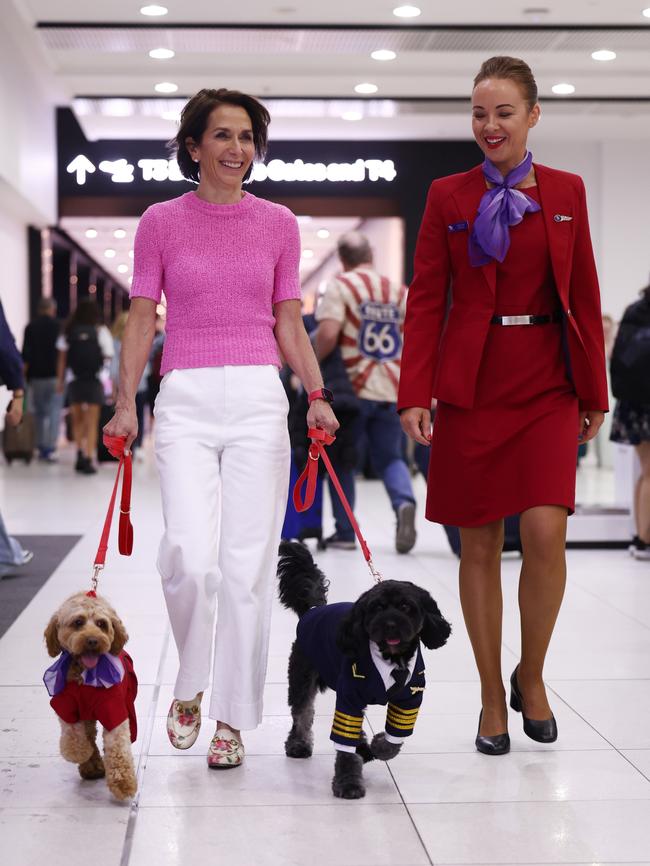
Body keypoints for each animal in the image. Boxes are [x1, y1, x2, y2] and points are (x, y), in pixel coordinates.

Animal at [43, 592, 138, 800]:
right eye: (78, 622)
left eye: (102, 624)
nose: (93, 640)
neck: (85, 676)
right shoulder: (66, 706)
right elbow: (73, 737)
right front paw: (79, 753)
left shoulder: (114, 710)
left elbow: (117, 747)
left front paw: (123, 783)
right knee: (88, 735)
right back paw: (91, 765)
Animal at [274, 540, 450, 796]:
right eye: (377, 607)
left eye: (405, 606)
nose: (390, 624)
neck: (391, 658)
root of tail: (314, 609)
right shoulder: (349, 697)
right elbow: (344, 745)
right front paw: (348, 782)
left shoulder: (409, 700)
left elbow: (394, 738)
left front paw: (378, 747)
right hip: (302, 676)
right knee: (303, 712)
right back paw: (299, 744)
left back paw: (364, 748)